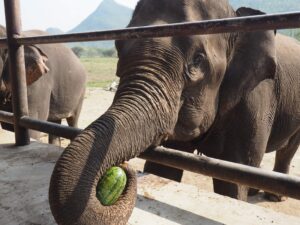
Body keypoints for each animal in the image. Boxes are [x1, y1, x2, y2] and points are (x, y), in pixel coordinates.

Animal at [48, 0, 298, 224]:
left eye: (198, 60)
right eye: (118, 47)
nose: (124, 167)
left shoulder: (254, 99)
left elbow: (235, 173)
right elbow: (164, 167)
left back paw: (274, 197)